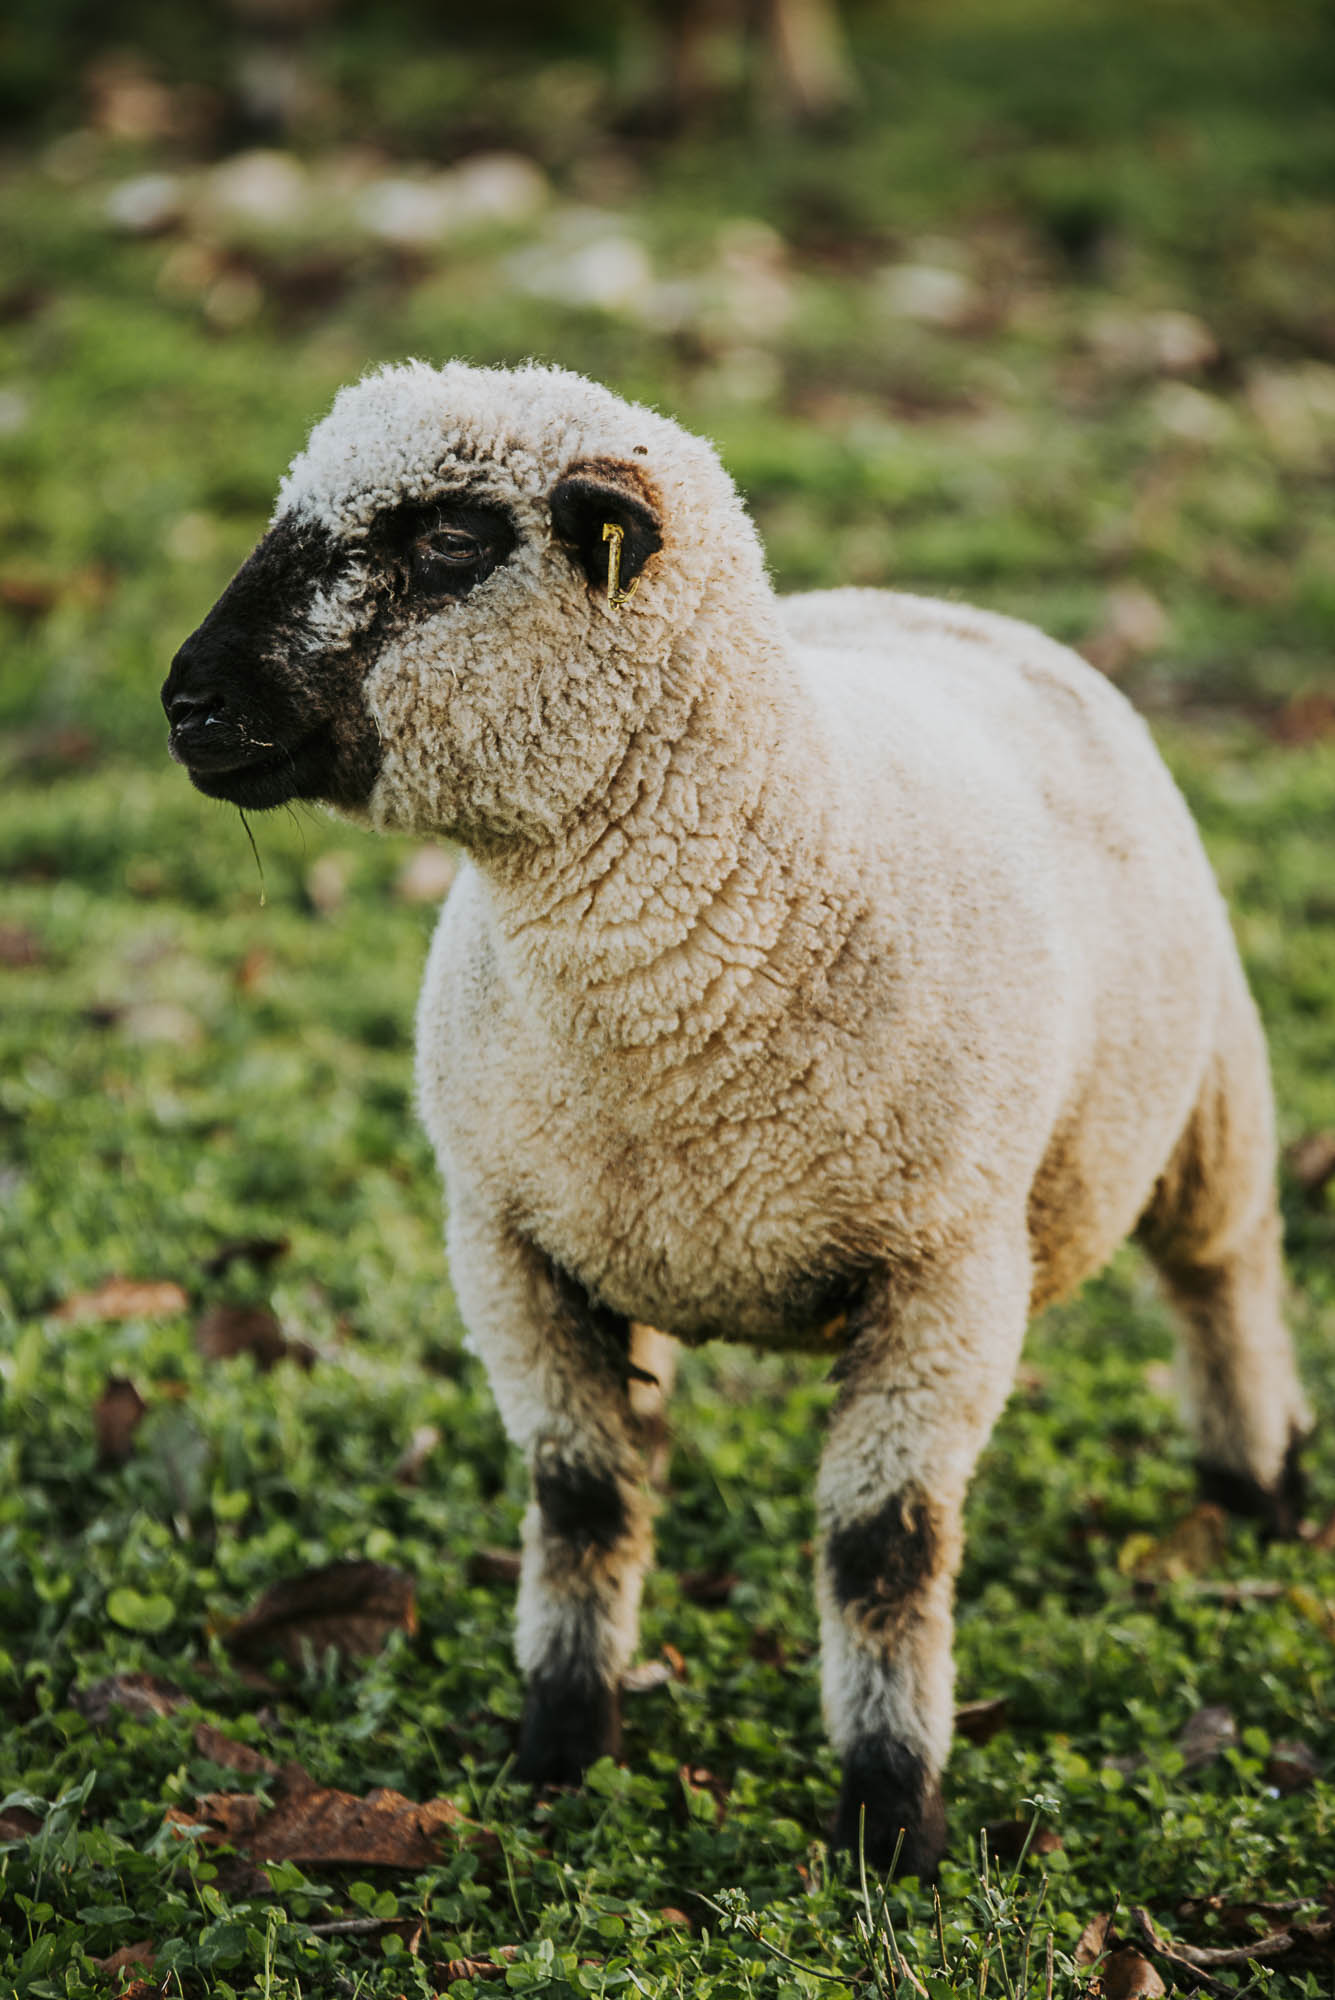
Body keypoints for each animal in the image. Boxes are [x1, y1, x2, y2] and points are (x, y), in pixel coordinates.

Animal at [162, 359, 1312, 1879]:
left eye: (451, 537)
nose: (187, 702)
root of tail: (930, 600)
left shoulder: (945, 1269)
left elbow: (884, 1546)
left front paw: (891, 1819)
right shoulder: (509, 1245)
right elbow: (582, 1497)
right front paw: (559, 1747)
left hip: (1204, 1100)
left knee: (1224, 1274)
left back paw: (1259, 1483)